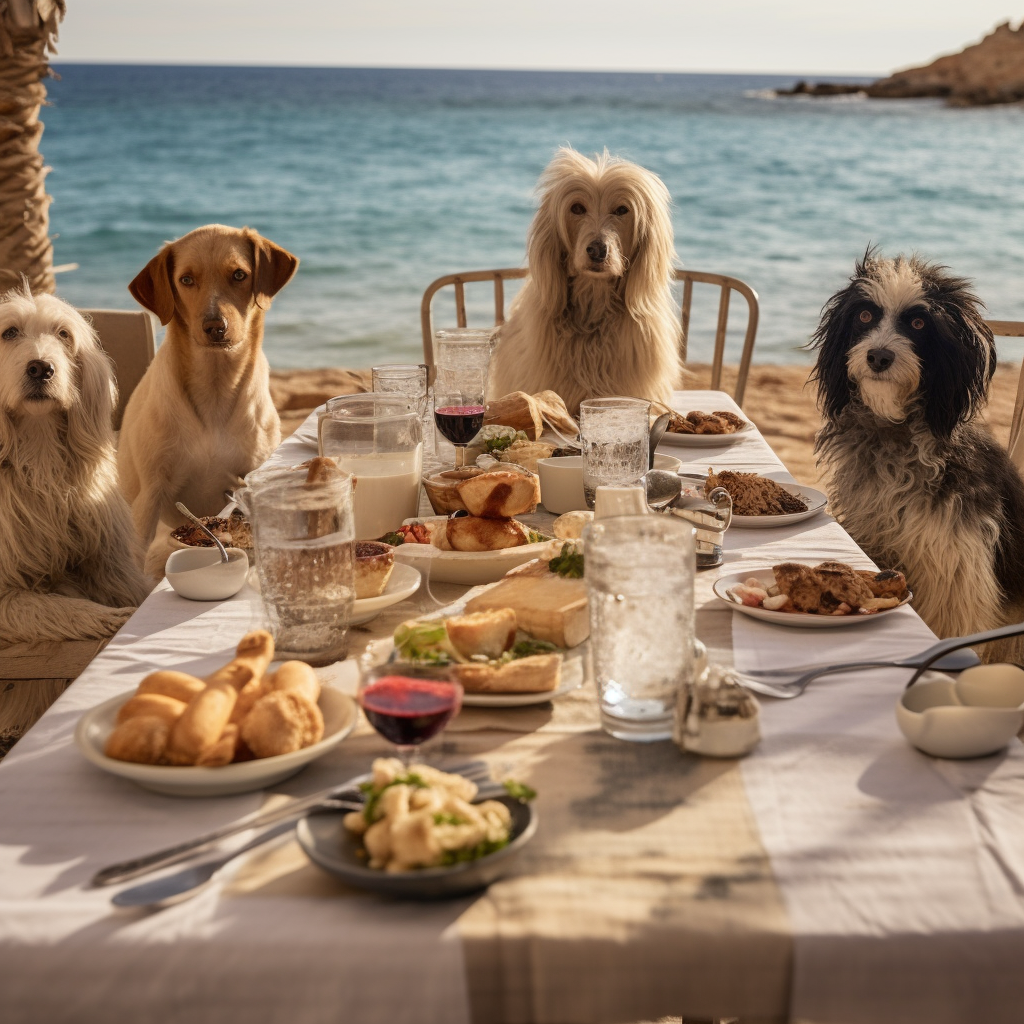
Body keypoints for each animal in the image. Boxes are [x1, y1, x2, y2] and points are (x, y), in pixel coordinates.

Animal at [0, 286, 149, 638]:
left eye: (63, 334)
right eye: (8, 333)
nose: (41, 368)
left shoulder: (112, 564)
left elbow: (136, 589)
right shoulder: (7, 594)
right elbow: (53, 607)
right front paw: (111, 618)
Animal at [119, 225, 299, 573]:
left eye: (239, 274)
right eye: (186, 279)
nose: (215, 327)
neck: (216, 387)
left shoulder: (251, 473)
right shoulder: (150, 494)